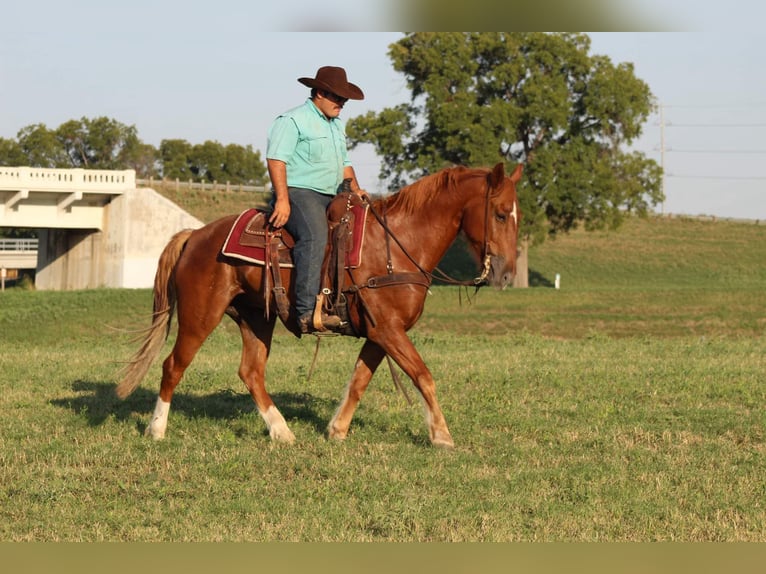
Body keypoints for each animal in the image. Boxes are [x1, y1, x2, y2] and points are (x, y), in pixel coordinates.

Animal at [115, 162, 520, 450]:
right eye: (500, 213)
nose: (506, 274)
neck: (397, 244)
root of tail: (195, 235)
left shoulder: (380, 333)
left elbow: (358, 381)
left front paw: (336, 430)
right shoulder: (388, 330)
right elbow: (423, 376)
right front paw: (442, 435)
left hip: (256, 318)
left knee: (250, 372)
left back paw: (282, 432)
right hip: (201, 316)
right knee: (173, 365)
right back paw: (157, 429)